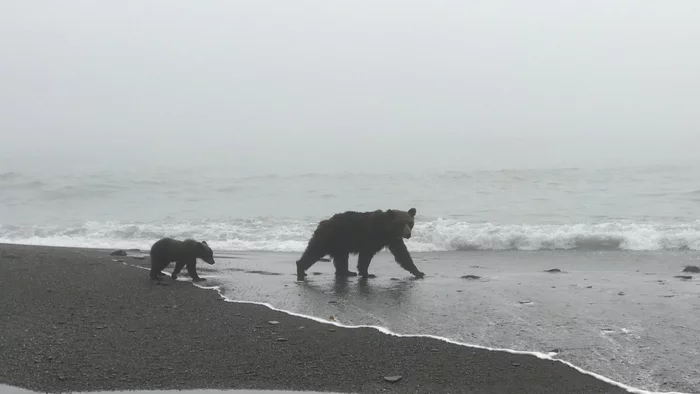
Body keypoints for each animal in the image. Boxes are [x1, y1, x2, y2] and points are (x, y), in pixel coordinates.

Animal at [294, 209, 424, 280]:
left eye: (410, 223)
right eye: (401, 224)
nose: (408, 234)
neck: (386, 230)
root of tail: (322, 222)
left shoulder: (393, 240)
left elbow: (402, 254)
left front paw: (419, 272)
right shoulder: (370, 236)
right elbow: (365, 256)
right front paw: (367, 273)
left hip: (341, 244)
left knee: (341, 258)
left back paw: (347, 272)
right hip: (329, 238)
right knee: (314, 251)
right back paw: (301, 268)